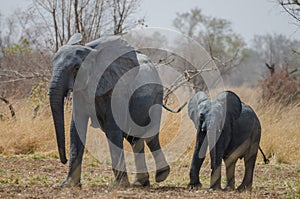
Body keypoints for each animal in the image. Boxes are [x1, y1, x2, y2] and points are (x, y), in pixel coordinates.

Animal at [49, 33, 183, 187]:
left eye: (76, 68)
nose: (63, 160)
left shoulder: (117, 88)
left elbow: (112, 129)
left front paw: (119, 185)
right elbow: (76, 127)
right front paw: (68, 185)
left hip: (155, 97)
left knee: (150, 137)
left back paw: (161, 176)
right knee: (135, 139)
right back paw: (140, 183)